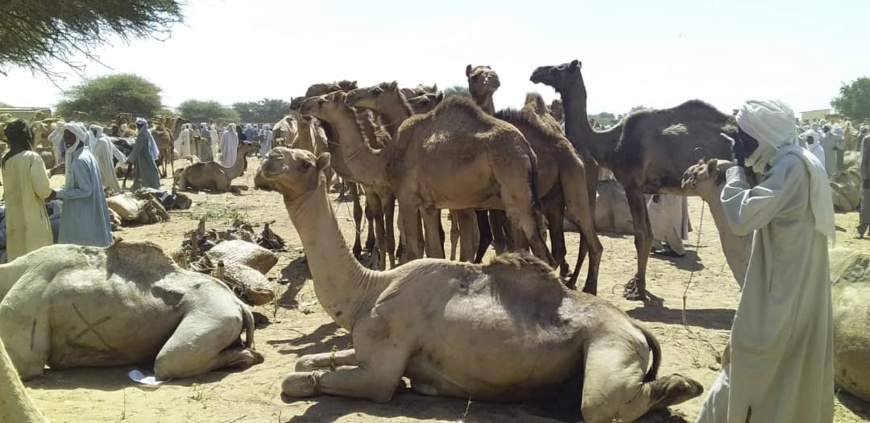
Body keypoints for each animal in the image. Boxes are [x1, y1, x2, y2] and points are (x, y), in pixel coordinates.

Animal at [260, 148, 708, 420]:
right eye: (281, 153)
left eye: (304, 162)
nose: (270, 159)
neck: (368, 290)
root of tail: (636, 326)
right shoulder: (366, 347)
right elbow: (306, 363)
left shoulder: (381, 372)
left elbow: (298, 379)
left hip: (610, 344)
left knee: (601, 405)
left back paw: (684, 385)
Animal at [532, 61, 736, 304]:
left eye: (558, 68)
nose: (535, 72)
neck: (610, 143)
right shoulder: (641, 188)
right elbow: (646, 234)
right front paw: (636, 285)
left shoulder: (632, 184)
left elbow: (643, 236)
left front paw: (638, 289)